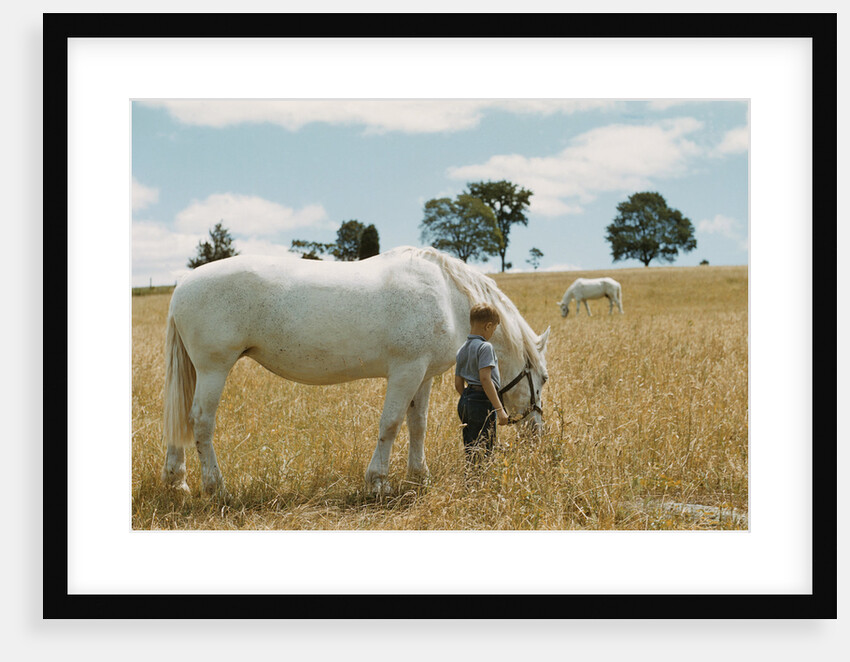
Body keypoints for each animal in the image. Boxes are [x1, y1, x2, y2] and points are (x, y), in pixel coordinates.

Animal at [162, 246, 550, 496]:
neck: (447, 295)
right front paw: (378, 482)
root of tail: (182, 286)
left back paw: (176, 481)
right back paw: (216, 488)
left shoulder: (423, 376)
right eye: (543, 378)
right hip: (214, 369)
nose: (537, 433)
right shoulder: (406, 372)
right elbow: (391, 424)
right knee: (200, 422)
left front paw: (418, 477)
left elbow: (417, 425)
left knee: (181, 421)